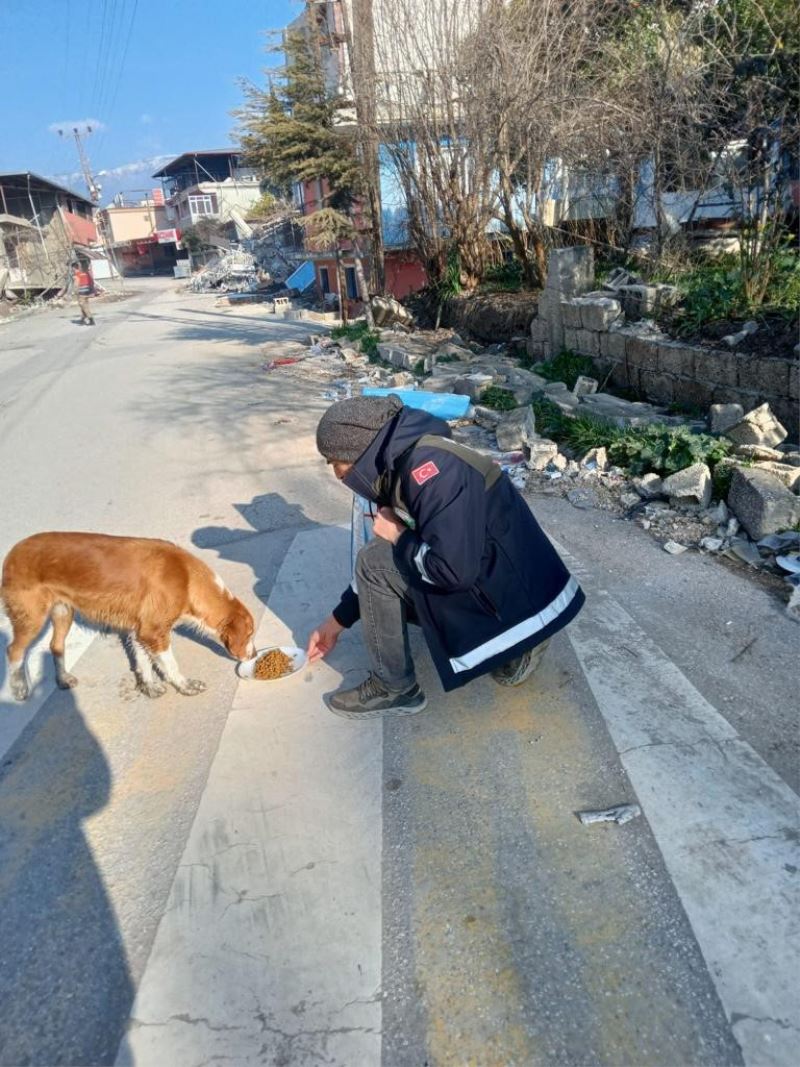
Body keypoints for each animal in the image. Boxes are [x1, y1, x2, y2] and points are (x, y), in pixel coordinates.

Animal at [0, 531, 254, 699]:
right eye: (250, 634)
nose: (252, 655)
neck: (186, 578)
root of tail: (13, 551)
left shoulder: (140, 630)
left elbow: (143, 661)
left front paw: (149, 686)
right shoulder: (153, 632)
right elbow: (170, 664)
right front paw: (185, 685)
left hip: (63, 611)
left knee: (55, 645)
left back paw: (63, 678)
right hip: (32, 617)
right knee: (14, 650)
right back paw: (19, 688)